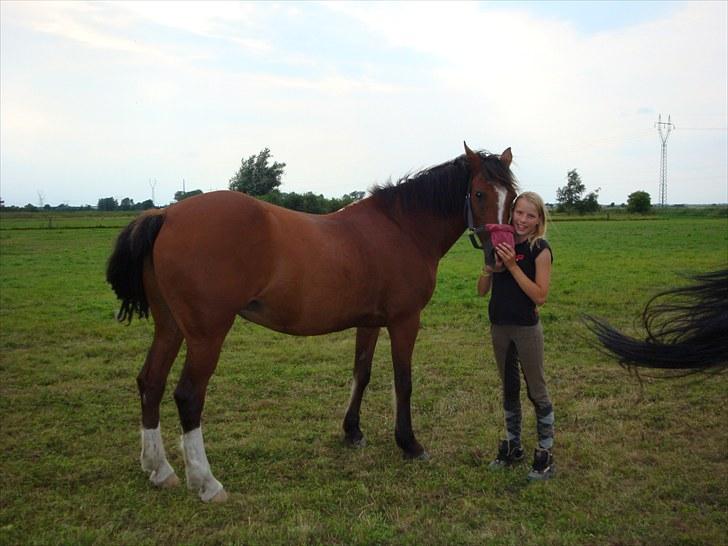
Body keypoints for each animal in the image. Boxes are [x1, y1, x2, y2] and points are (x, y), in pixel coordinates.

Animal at [108, 142, 516, 500]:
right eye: (479, 193)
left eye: (511, 197)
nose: (500, 256)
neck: (402, 228)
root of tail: (165, 214)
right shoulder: (404, 321)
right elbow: (404, 381)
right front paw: (409, 443)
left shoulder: (369, 322)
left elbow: (361, 373)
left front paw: (352, 432)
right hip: (207, 334)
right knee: (189, 395)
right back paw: (207, 483)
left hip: (170, 327)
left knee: (151, 382)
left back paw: (159, 470)